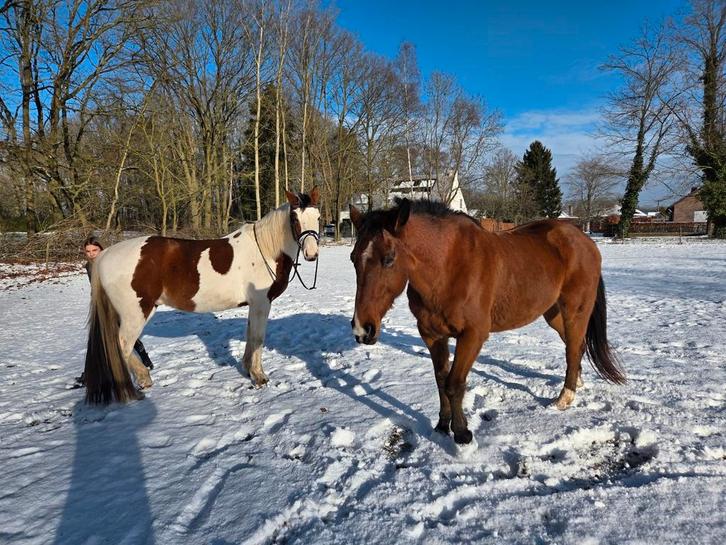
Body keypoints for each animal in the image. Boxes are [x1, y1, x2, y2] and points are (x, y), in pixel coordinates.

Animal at [84, 188, 321, 404]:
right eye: (294, 218)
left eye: (318, 217)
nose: (312, 254)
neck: (265, 249)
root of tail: (105, 255)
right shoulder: (262, 303)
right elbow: (257, 338)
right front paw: (259, 377)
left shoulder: (254, 305)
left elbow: (249, 335)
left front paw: (247, 369)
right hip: (136, 314)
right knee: (122, 346)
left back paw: (143, 379)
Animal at [348, 198, 625, 444]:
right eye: (353, 258)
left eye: (389, 258)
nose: (363, 328)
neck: (448, 267)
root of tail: (584, 240)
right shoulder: (431, 334)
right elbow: (441, 380)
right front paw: (441, 426)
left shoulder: (473, 335)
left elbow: (454, 384)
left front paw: (462, 433)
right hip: (553, 313)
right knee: (575, 346)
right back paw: (576, 383)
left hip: (574, 311)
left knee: (573, 347)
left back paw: (564, 398)